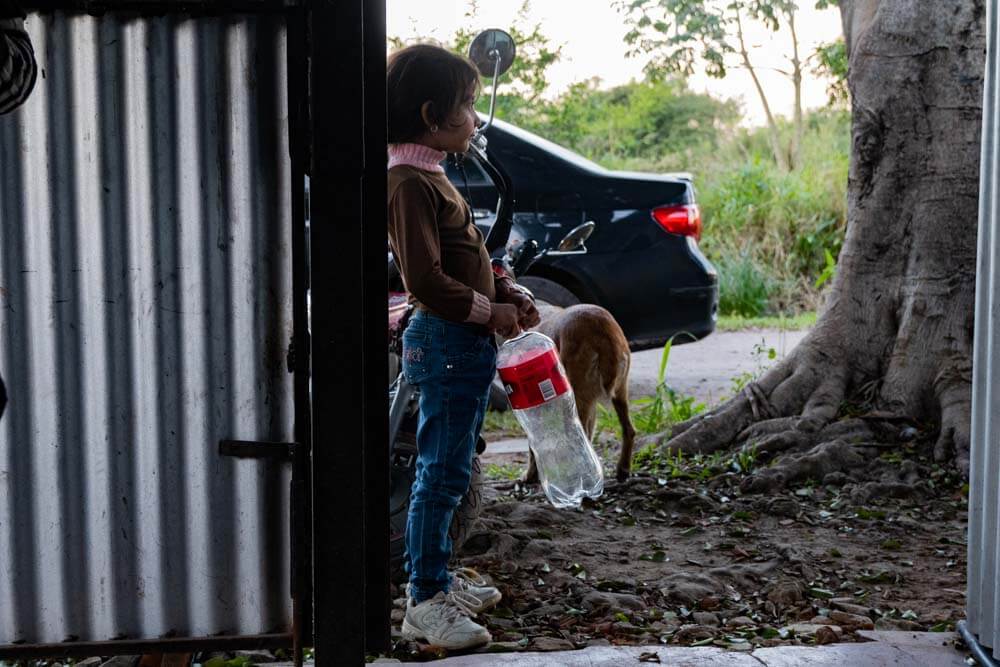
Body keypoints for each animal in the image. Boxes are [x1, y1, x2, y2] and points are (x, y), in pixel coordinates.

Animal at [520, 306, 636, 482]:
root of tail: (601, 326)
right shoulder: (592, 404)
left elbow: (534, 445)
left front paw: (531, 475)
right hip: (619, 392)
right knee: (628, 430)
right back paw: (622, 469)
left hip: (577, 396)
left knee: (582, 441)